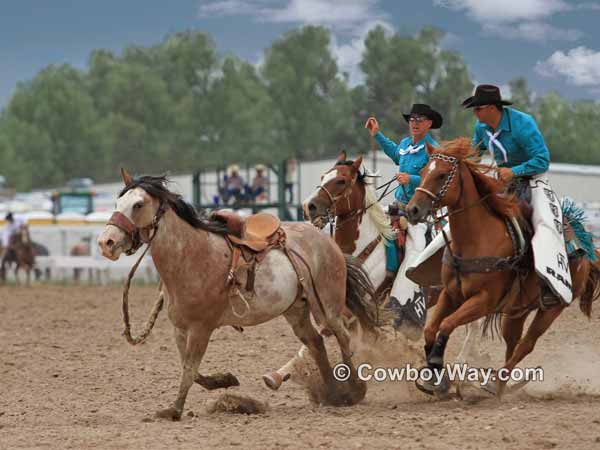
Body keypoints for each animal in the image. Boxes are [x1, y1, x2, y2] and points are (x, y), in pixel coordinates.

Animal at [95, 171, 382, 420]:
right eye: (118, 202)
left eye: (138, 204)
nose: (106, 243)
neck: (191, 256)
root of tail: (327, 242)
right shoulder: (180, 328)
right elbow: (192, 370)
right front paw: (225, 380)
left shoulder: (201, 328)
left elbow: (189, 369)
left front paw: (174, 410)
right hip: (296, 310)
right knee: (315, 343)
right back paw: (333, 394)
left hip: (327, 307)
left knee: (342, 337)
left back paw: (354, 390)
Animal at [404, 137, 600, 398]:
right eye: (424, 171)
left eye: (442, 175)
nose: (412, 210)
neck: (476, 239)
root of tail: (585, 248)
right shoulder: (451, 294)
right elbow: (430, 329)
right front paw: (435, 379)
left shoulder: (483, 301)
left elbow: (446, 325)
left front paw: (438, 370)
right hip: (518, 309)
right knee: (512, 342)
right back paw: (501, 386)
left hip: (552, 308)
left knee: (526, 345)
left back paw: (493, 384)